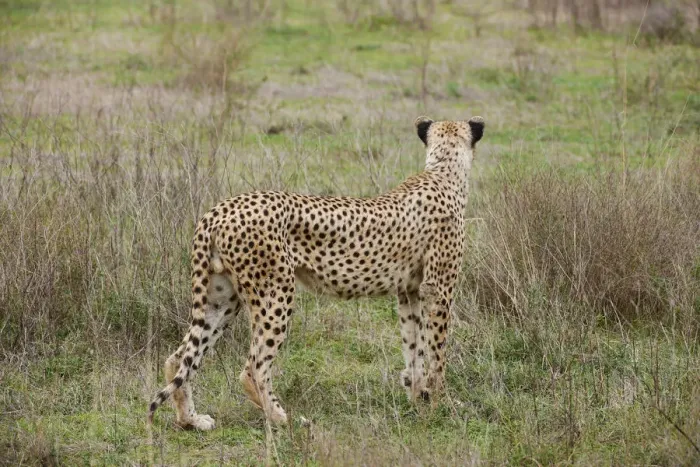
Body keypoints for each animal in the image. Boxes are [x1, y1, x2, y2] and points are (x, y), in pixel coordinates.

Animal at [148, 115, 485, 430]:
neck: (443, 171)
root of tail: (219, 209)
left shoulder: (409, 291)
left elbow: (413, 348)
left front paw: (417, 398)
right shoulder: (437, 290)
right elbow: (437, 352)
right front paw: (443, 404)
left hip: (221, 297)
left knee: (180, 358)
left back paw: (191, 420)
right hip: (275, 292)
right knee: (253, 367)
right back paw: (284, 419)